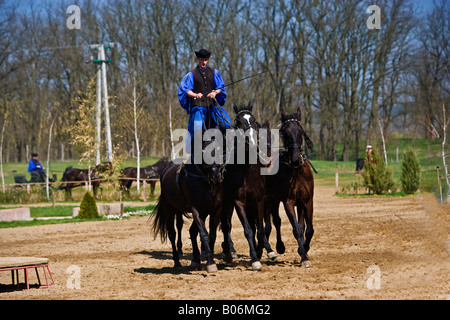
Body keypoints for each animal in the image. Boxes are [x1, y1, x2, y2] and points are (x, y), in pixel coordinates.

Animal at [152, 132, 229, 272]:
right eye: (203, 151)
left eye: (220, 150)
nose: (216, 176)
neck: (205, 182)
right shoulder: (196, 209)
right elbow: (203, 233)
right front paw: (210, 263)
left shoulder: (215, 209)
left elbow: (211, 234)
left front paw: (204, 258)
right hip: (169, 209)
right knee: (172, 233)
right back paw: (177, 261)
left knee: (188, 230)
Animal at [220, 104, 276, 272]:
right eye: (238, 122)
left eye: (254, 120)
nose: (250, 140)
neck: (248, 172)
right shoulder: (239, 203)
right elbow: (248, 230)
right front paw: (255, 260)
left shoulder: (259, 202)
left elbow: (261, 229)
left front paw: (262, 251)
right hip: (226, 203)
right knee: (226, 225)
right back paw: (228, 252)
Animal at [266, 107, 314, 268]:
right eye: (285, 133)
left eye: (300, 131)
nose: (295, 159)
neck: (296, 172)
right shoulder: (288, 202)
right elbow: (297, 230)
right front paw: (304, 257)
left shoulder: (306, 201)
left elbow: (307, 229)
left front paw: (304, 249)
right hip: (270, 201)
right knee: (272, 222)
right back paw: (276, 248)